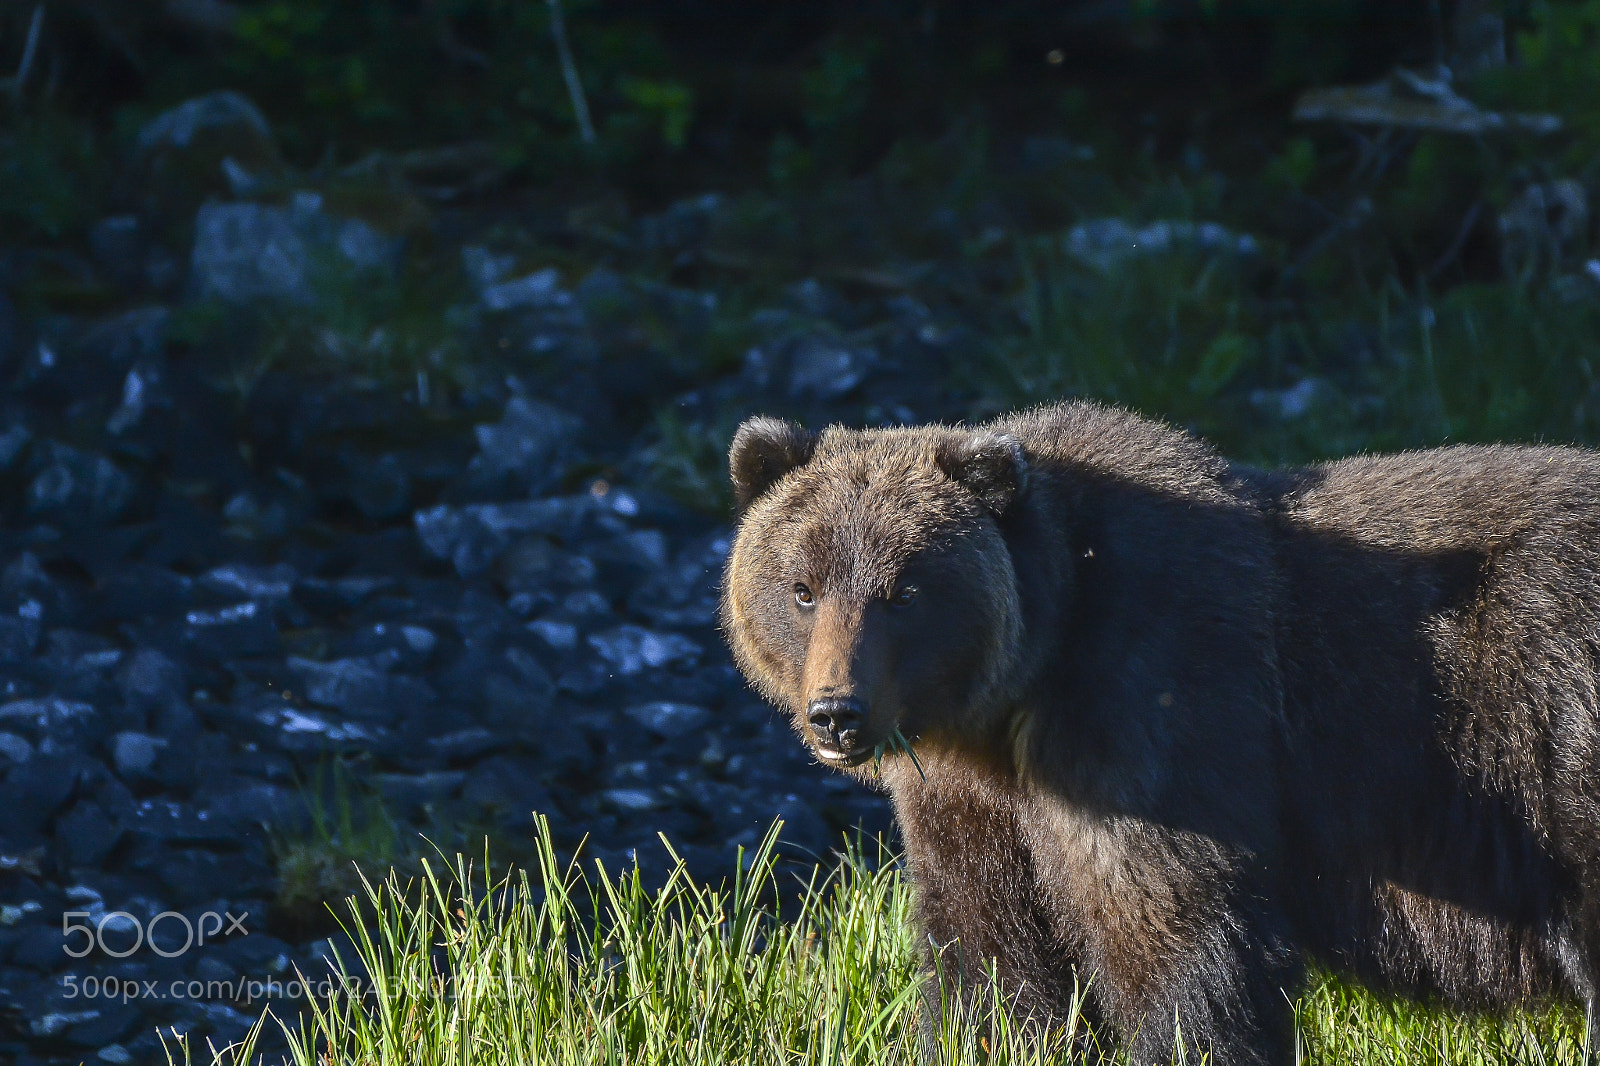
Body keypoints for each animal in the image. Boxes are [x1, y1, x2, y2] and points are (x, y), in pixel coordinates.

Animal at [719, 400, 1600, 1066]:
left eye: (904, 590)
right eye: (802, 588)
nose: (838, 712)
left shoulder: (1151, 713)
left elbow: (1179, 948)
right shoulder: (973, 802)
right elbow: (992, 962)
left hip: (1556, 733)